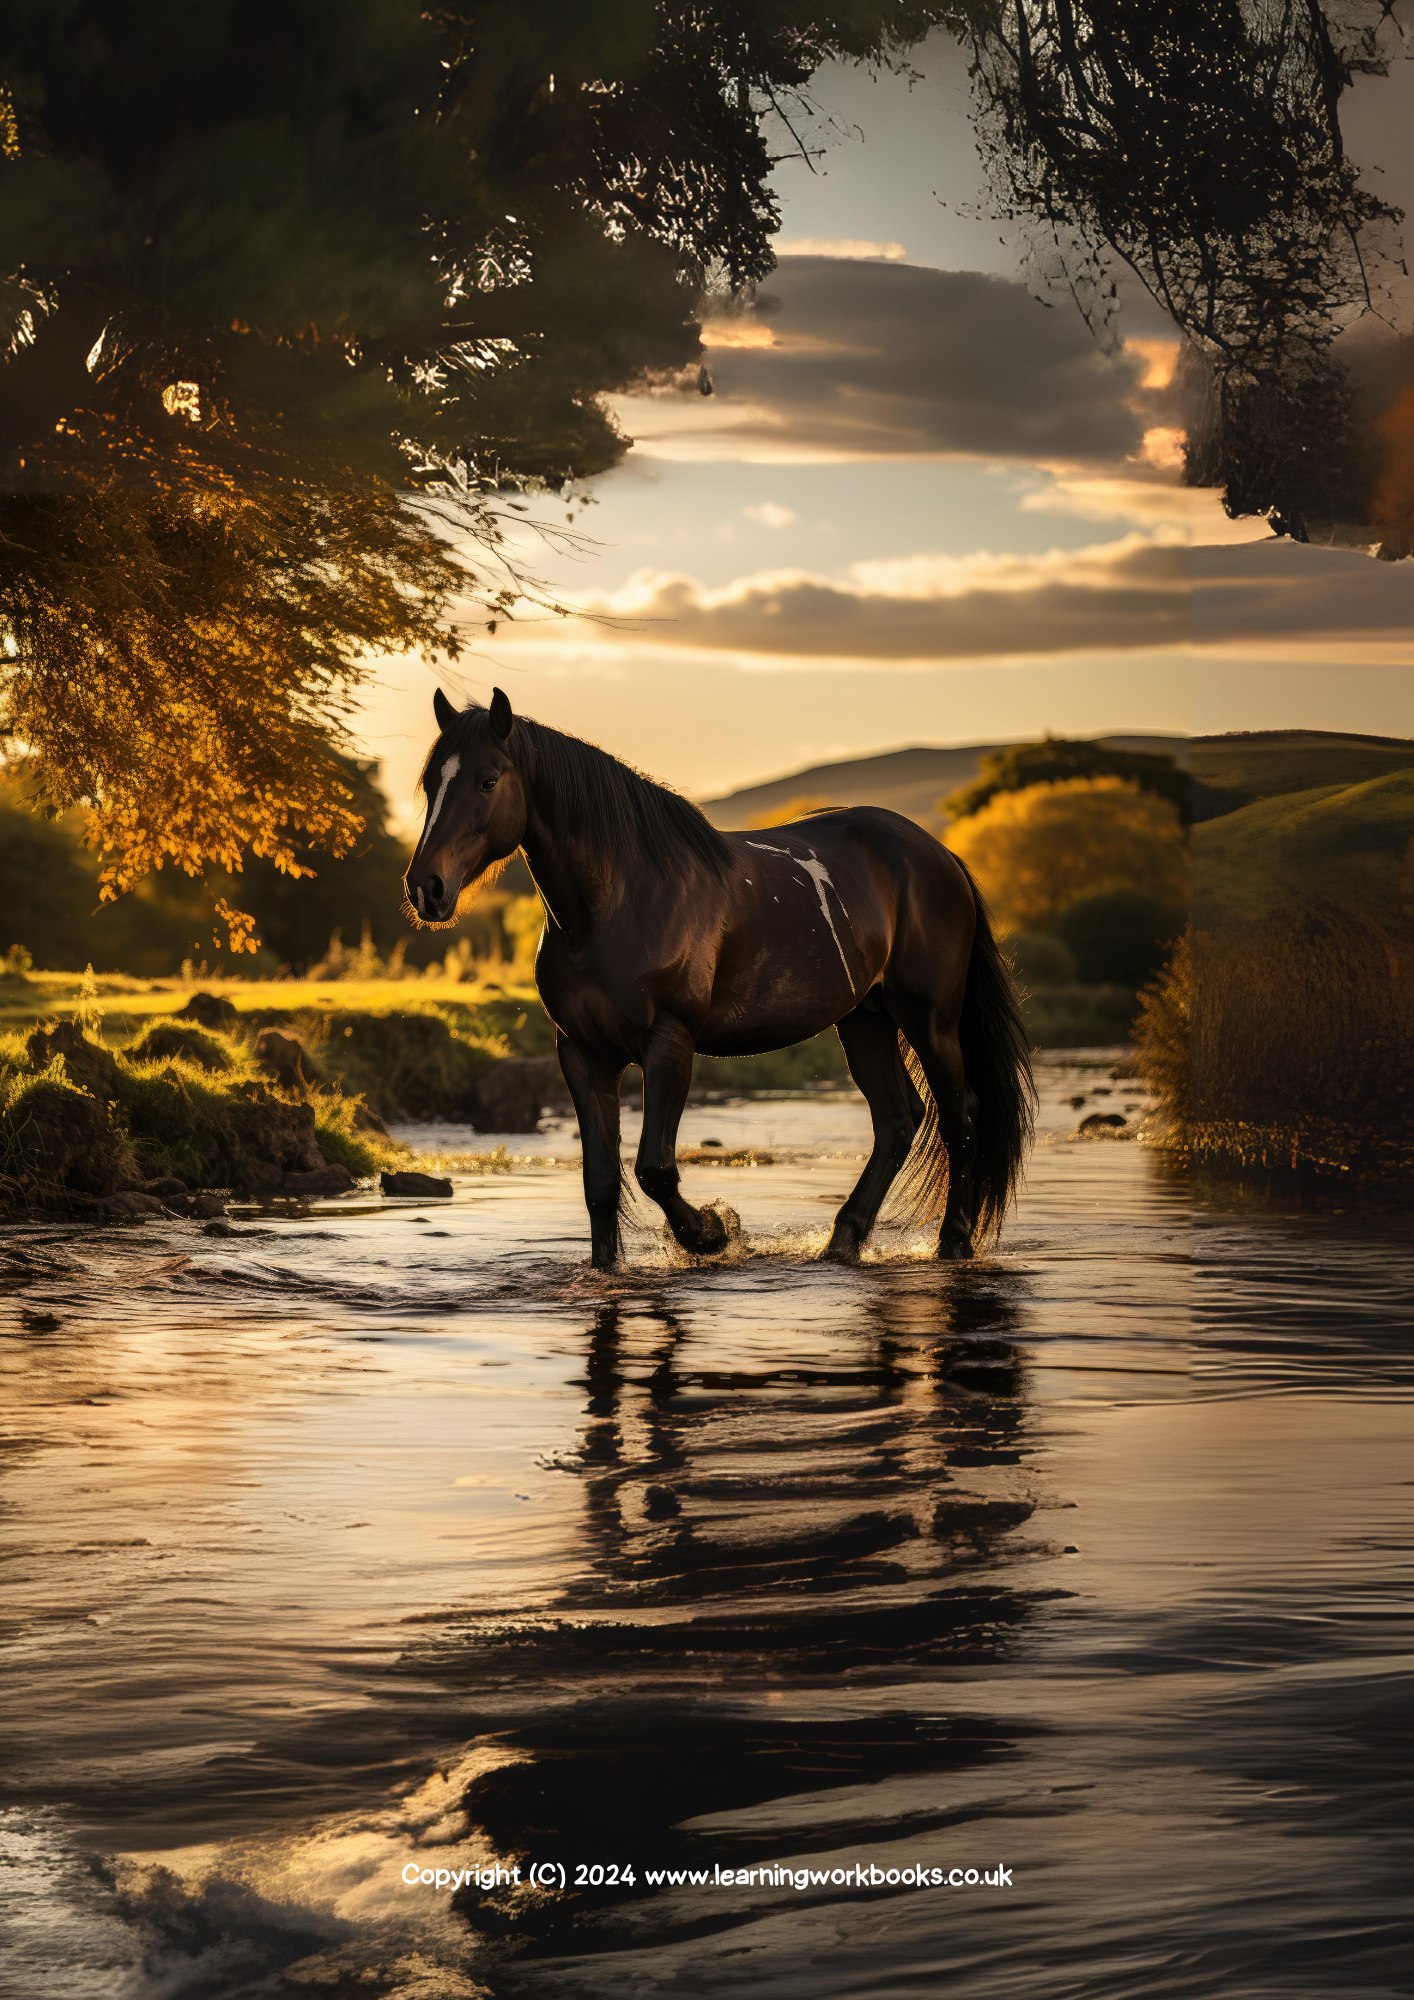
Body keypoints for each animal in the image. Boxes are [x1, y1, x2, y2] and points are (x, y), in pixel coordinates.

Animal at [404, 688, 1035, 1269]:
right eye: (430, 782)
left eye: (488, 781)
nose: (425, 887)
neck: (620, 902)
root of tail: (938, 856)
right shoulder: (581, 1051)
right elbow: (601, 1183)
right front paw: (615, 1264)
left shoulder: (669, 1040)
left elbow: (655, 1169)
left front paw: (711, 1232)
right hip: (865, 1020)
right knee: (899, 1121)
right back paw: (843, 1241)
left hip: (931, 1020)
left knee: (960, 1115)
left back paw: (952, 1242)